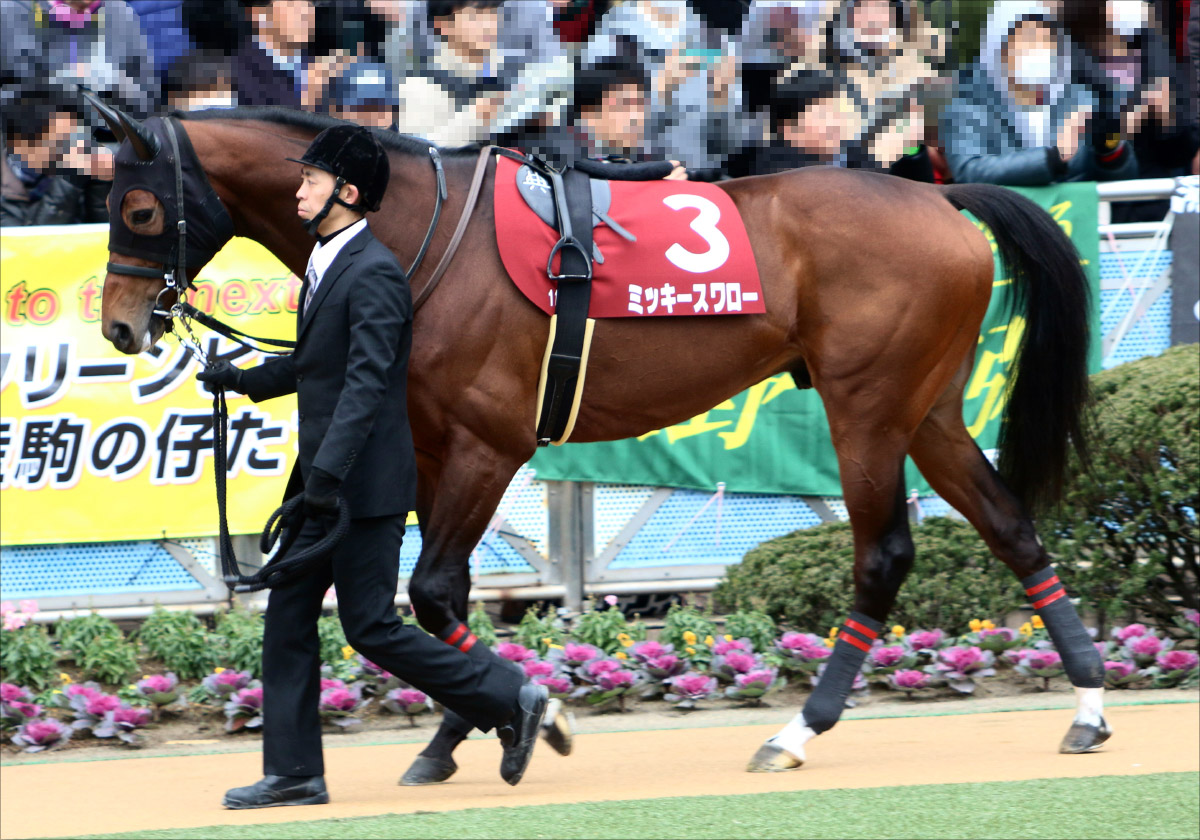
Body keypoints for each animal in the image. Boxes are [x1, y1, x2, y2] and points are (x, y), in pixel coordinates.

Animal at [92, 103, 1109, 779]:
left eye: (138, 210)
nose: (121, 327)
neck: (423, 230)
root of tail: (942, 202)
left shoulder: (488, 445)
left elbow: (434, 591)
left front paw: (515, 718)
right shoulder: (426, 443)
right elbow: (438, 593)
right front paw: (472, 728)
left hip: (867, 405)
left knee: (883, 555)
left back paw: (796, 731)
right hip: (927, 408)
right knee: (1010, 527)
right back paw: (1090, 709)